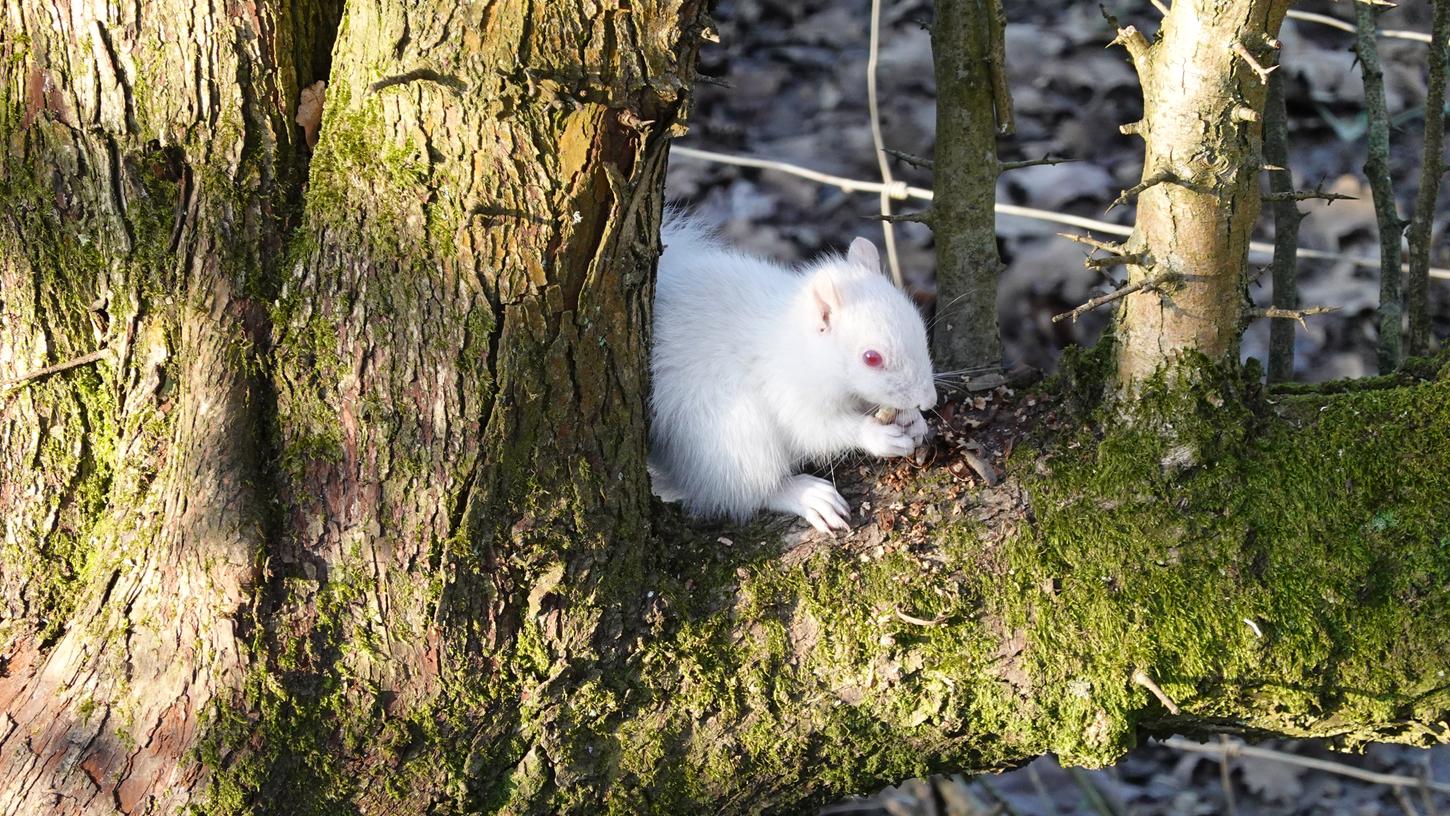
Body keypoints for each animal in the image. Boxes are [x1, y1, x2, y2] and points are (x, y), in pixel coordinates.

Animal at [649, 210, 939, 533]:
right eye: (871, 358)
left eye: (918, 324)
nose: (929, 401)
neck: (805, 349)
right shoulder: (787, 391)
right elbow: (815, 429)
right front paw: (876, 436)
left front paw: (912, 419)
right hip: (734, 435)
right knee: (746, 491)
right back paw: (806, 494)